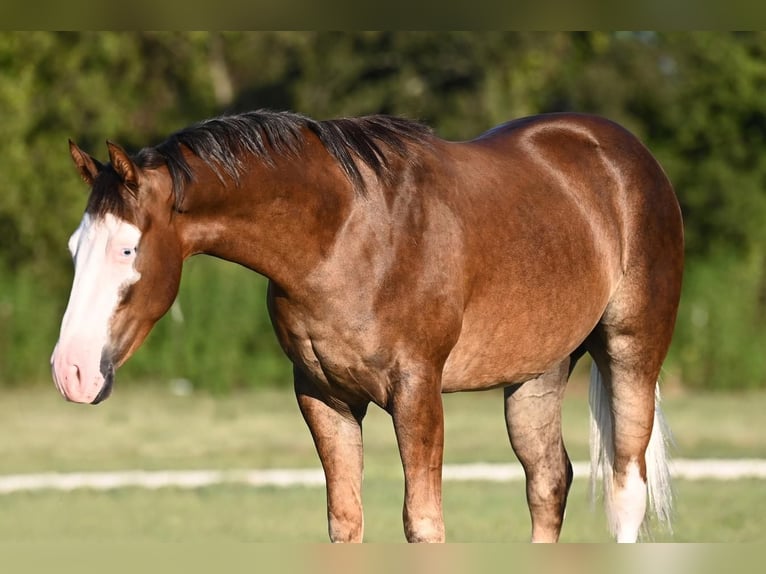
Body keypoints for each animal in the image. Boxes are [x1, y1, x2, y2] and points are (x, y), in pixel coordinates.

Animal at [51, 111, 688, 544]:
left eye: (127, 248)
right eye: (75, 248)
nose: (71, 371)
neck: (343, 236)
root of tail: (626, 153)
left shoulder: (417, 393)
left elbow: (422, 523)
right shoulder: (324, 396)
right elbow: (345, 520)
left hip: (632, 351)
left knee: (626, 489)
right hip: (537, 375)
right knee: (548, 483)